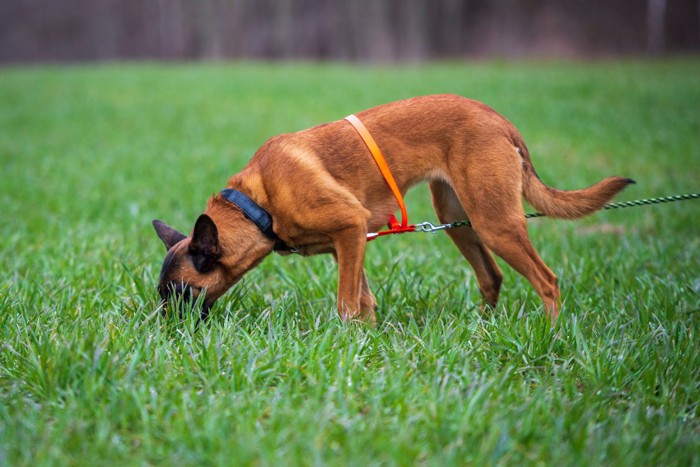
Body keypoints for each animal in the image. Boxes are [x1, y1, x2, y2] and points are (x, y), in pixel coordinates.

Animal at [154, 94, 636, 322]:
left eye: (179, 293)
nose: (164, 331)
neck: (258, 203)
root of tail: (498, 119)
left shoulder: (349, 230)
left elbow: (347, 304)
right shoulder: (348, 246)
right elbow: (364, 301)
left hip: (495, 221)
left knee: (547, 281)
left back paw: (548, 334)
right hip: (458, 220)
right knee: (492, 276)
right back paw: (485, 328)